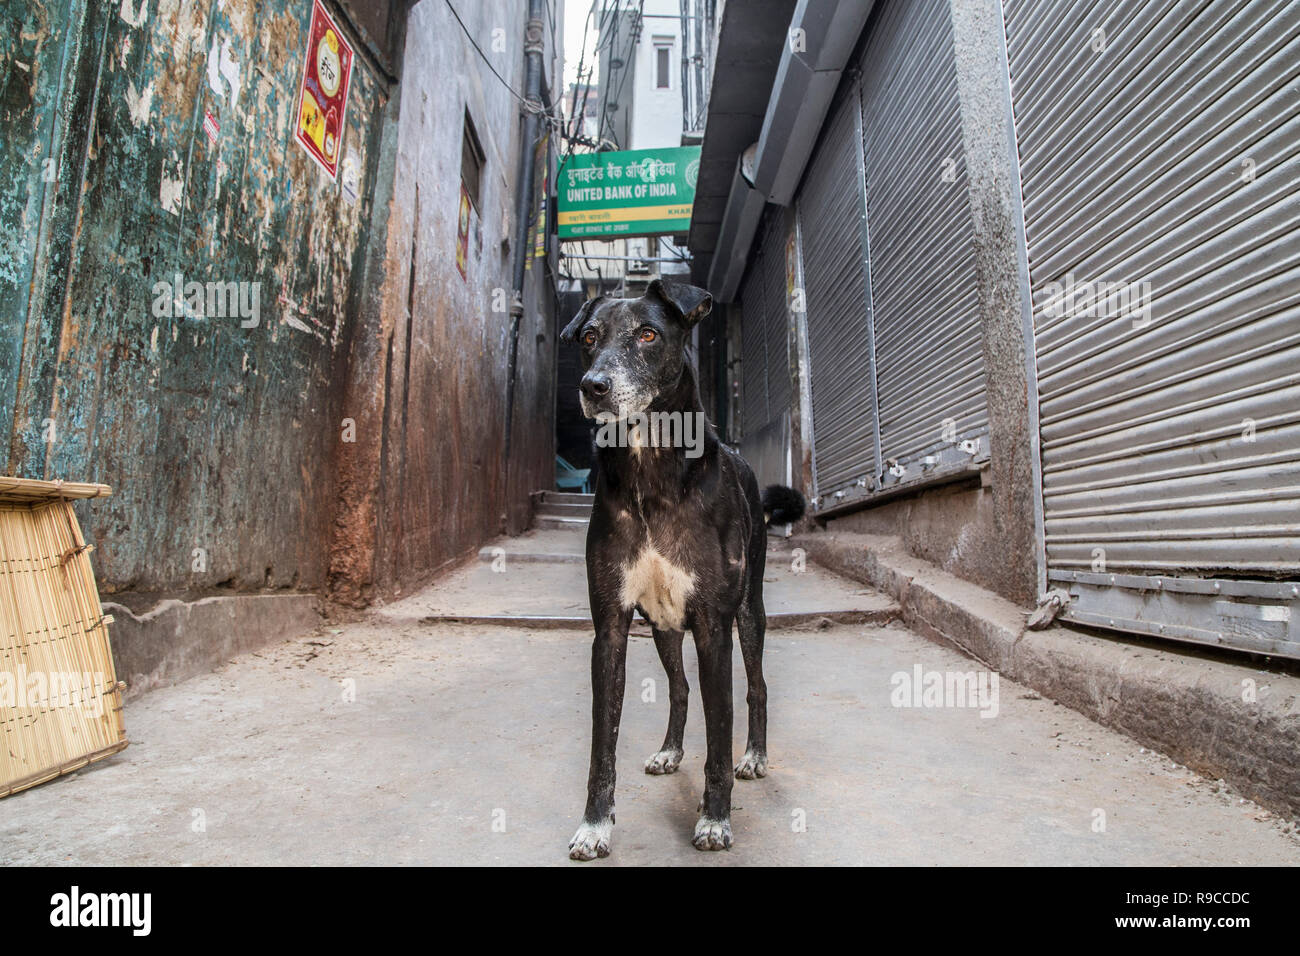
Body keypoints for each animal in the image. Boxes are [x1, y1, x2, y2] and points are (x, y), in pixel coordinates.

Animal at [559, 278, 800, 858]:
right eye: (589, 338)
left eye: (648, 334)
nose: (593, 386)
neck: (650, 467)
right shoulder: (611, 629)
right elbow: (603, 745)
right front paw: (595, 824)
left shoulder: (714, 626)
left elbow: (720, 734)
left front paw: (715, 818)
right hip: (663, 626)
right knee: (679, 687)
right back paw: (670, 750)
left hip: (750, 614)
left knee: (757, 686)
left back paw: (755, 756)